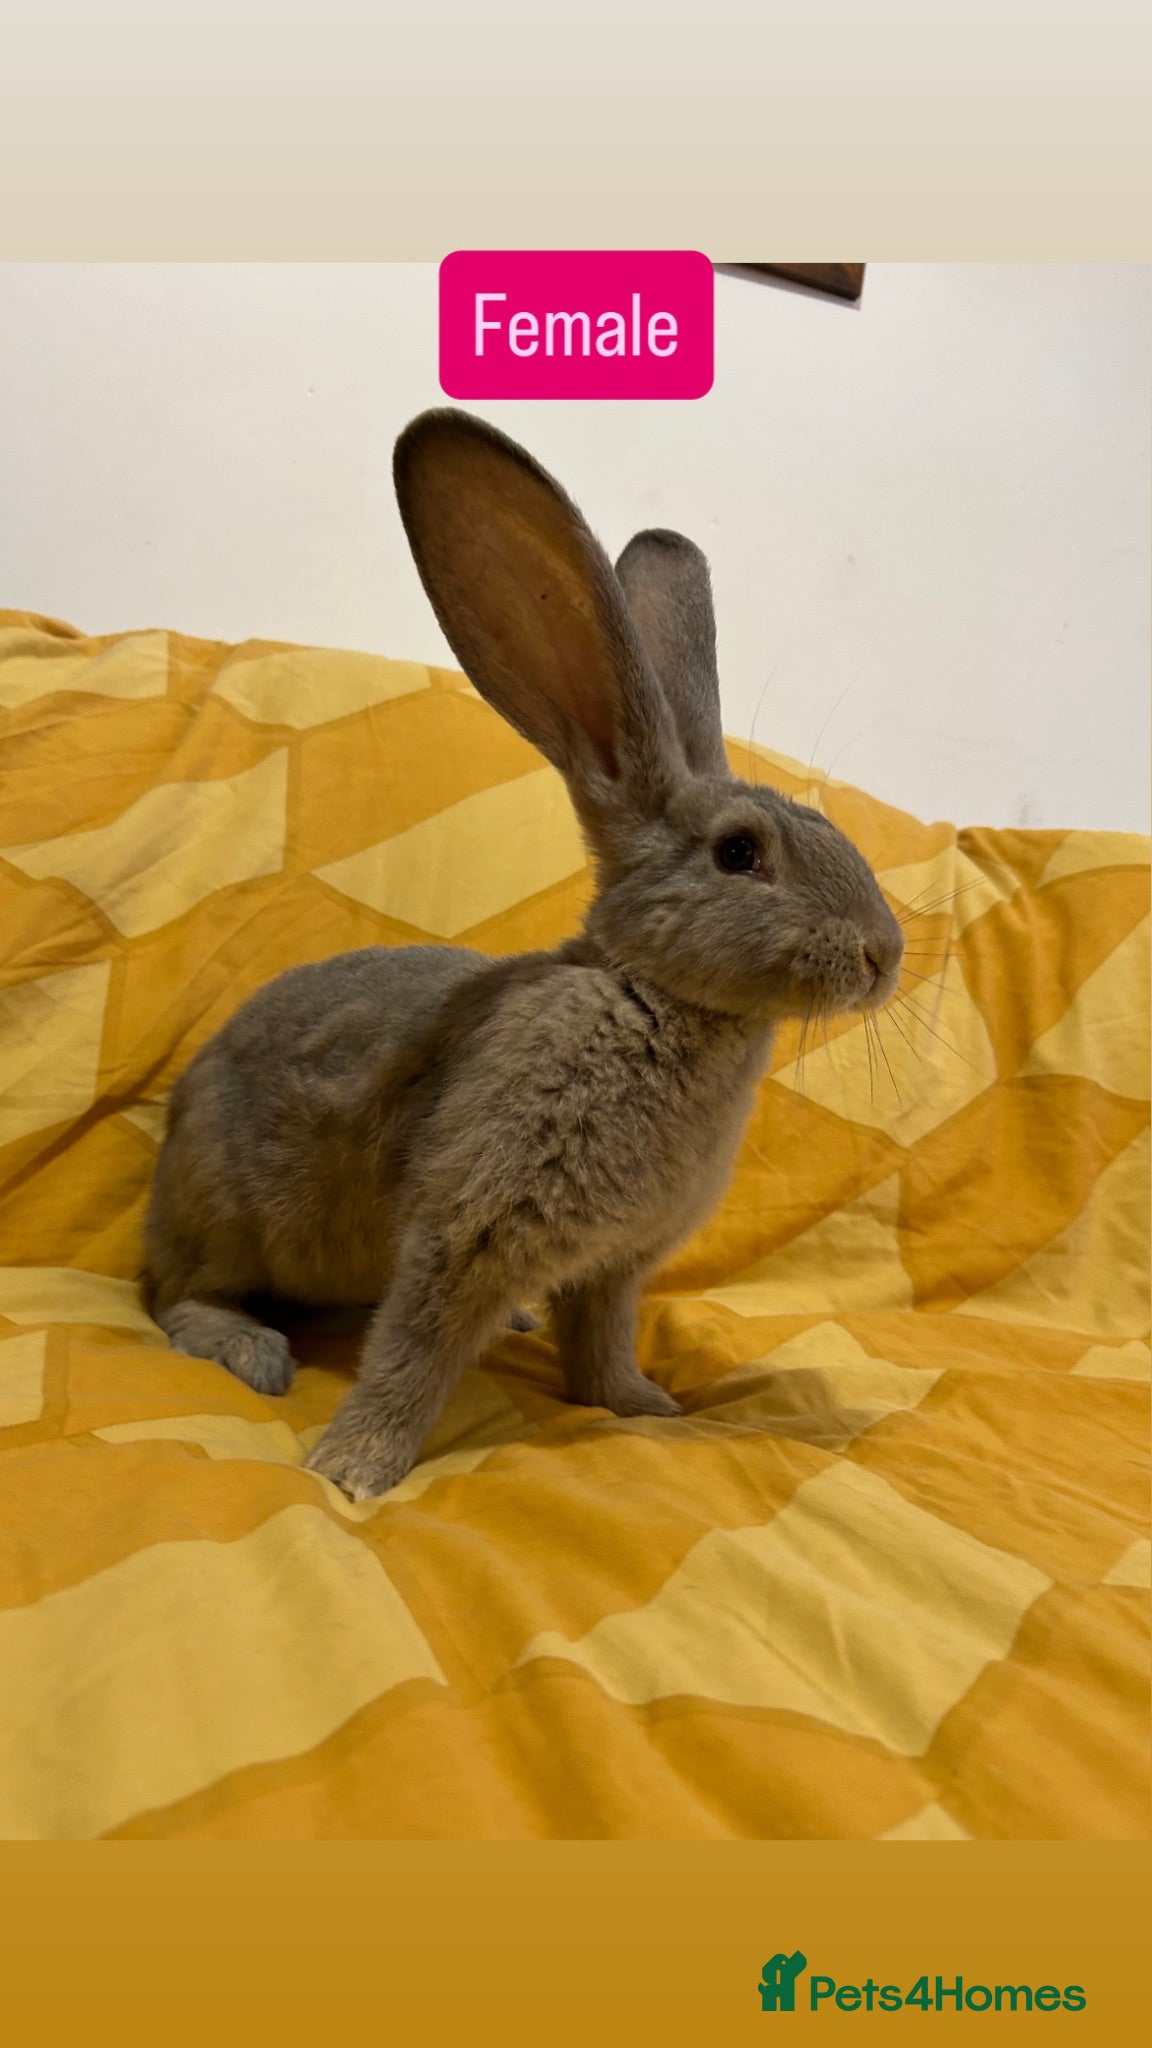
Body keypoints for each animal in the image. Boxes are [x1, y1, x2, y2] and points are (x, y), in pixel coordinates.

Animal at [142, 408, 904, 1501]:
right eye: (738, 853)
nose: (887, 955)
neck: (650, 995)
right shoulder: (468, 1229)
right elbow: (412, 1355)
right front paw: (352, 1470)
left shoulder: (617, 1264)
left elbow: (602, 1340)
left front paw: (644, 1405)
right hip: (224, 1216)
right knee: (175, 1299)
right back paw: (254, 1349)